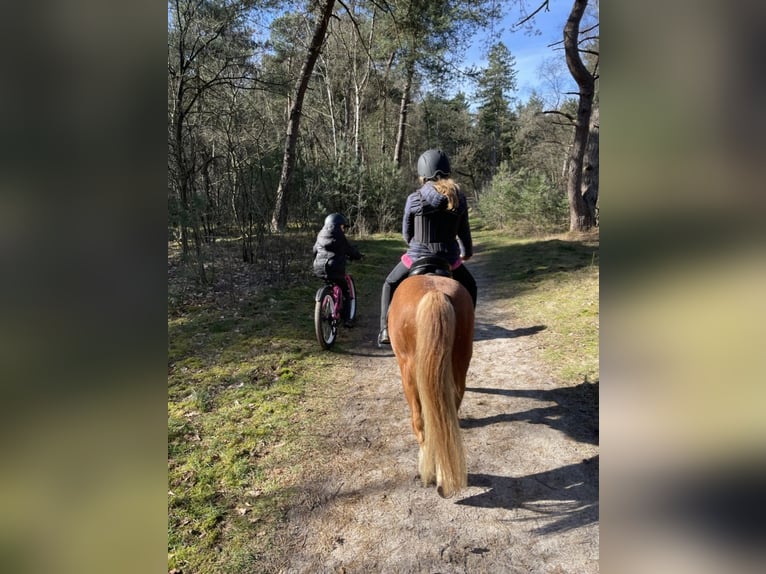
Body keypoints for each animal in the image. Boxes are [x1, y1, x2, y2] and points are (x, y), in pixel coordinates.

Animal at [390, 274, 474, 500]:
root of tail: (435, 293)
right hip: (459, 364)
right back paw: (444, 475)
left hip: (409, 371)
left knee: (420, 422)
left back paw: (428, 472)